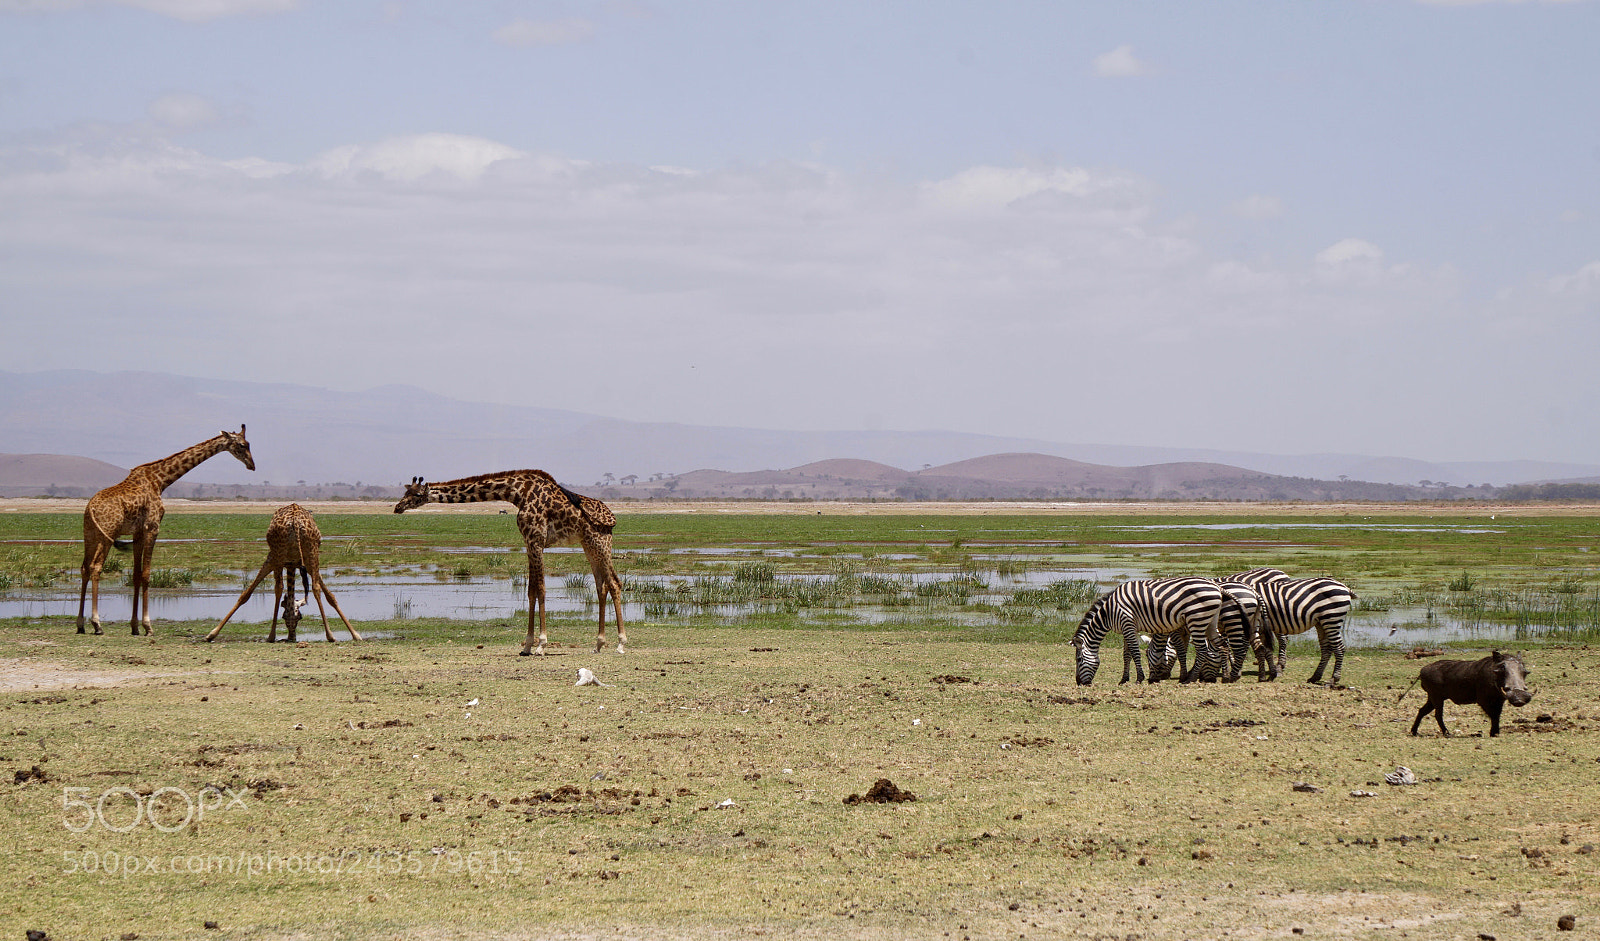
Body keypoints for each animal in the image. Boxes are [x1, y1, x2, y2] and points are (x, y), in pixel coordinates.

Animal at [76, 426, 255, 636]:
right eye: (242, 445)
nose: (252, 465)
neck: (160, 481)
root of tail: (90, 508)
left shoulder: (138, 532)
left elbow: (136, 574)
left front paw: (134, 627)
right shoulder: (153, 527)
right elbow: (146, 574)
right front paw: (148, 626)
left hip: (90, 534)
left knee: (84, 568)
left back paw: (80, 624)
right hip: (108, 534)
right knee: (96, 567)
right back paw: (97, 624)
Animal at [205, 503, 362, 644]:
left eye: (299, 617)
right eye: (287, 617)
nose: (292, 636)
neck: (292, 566)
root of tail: (295, 521)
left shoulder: (272, 559)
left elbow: (248, 593)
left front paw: (211, 634)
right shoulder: (300, 564)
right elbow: (330, 596)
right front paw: (355, 634)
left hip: (281, 555)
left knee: (279, 587)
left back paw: (272, 635)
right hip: (310, 553)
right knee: (315, 587)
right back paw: (330, 636)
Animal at [393, 470, 625, 656]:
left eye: (417, 495)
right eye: (406, 492)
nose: (397, 507)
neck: (518, 493)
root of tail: (612, 519)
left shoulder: (536, 540)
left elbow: (541, 588)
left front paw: (541, 644)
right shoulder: (529, 543)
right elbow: (531, 591)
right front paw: (527, 645)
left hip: (600, 543)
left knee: (614, 583)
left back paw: (621, 643)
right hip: (589, 546)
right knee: (601, 586)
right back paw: (598, 644)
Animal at [1070, 577, 1234, 685]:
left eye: (1079, 660)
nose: (1079, 682)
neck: (1108, 612)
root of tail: (1216, 586)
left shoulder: (1127, 623)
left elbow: (1135, 652)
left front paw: (1139, 678)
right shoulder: (1126, 628)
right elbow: (1126, 655)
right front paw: (1124, 679)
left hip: (1197, 620)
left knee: (1202, 649)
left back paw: (1190, 679)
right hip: (1210, 620)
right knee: (1222, 645)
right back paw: (1226, 677)